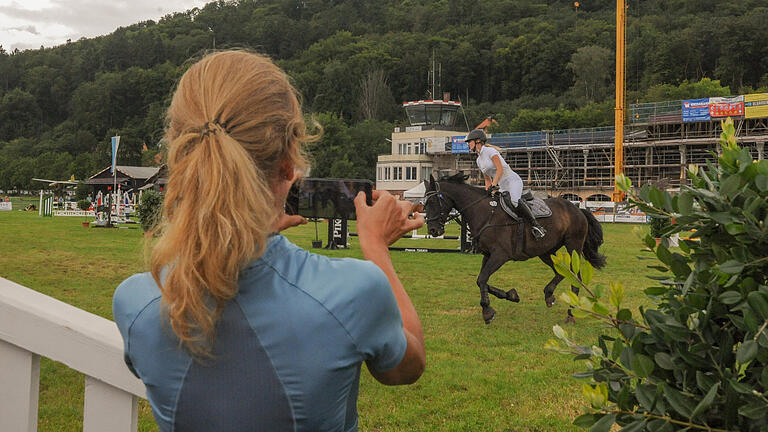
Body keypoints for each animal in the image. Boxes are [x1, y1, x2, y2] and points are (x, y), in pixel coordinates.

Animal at [424, 174, 604, 322]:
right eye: (424, 204)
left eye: (432, 202)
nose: (433, 231)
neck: (485, 213)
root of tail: (577, 209)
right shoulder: (488, 255)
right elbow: (481, 281)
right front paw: (511, 295)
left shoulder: (500, 255)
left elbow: (482, 279)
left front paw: (487, 311)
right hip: (546, 251)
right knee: (561, 272)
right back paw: (549, 295)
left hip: (573, 246)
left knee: (576, 276)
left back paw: (571, 313)